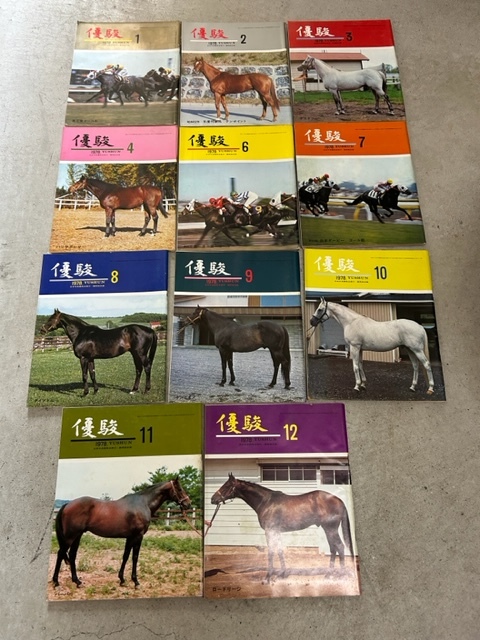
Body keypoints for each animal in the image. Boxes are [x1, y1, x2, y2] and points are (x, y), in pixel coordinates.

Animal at [52, 478, 191, 588]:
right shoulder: (138, 536)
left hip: (77, 536)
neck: (143, 503)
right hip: (71, 536)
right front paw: (136, 582)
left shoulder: (130, 537)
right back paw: (56, 582)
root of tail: (67, 504)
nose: (188, 504)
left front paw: (122, 579)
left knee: (72, 555)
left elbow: (125, 556)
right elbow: (135, 557)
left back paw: (77, 581)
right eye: (179, 489)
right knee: (60, 554)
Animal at [211, 474, 353, 583]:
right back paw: (329, 574)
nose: (213, 499)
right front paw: (282, 574)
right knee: (333, 548)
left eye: (226, 486)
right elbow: (279, 550)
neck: (266, 502)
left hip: (331, 529)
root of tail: (338, 500)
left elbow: (271, 552)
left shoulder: (270, 531)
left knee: (340, 547)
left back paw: (341, 575)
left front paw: (268, 577)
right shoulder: (277, 532)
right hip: (327, 529)